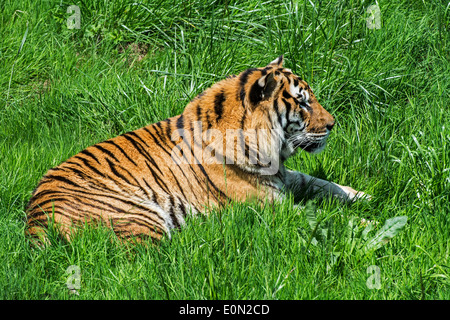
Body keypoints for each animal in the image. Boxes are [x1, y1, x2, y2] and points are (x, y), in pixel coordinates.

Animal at [25, 56, 370, 244]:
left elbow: (320, 183)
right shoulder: (272, 205)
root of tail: (35, 221)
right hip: (139, 214)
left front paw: (362, 196)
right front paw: (370, 224)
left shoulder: (284, 177)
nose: (333, 124)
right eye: (302, 102)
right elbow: (323, 216)